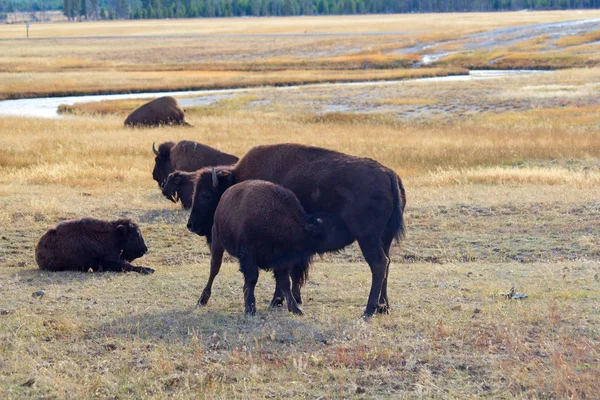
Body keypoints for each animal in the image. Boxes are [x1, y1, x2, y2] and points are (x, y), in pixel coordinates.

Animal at [199, 180, 336, 316]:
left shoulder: (281, 260)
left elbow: (285, 283)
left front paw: (295, 309)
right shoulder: (249, 255)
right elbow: (252, 279)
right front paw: (250, 309)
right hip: (217, 242)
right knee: (214, 269)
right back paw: (202, 300)